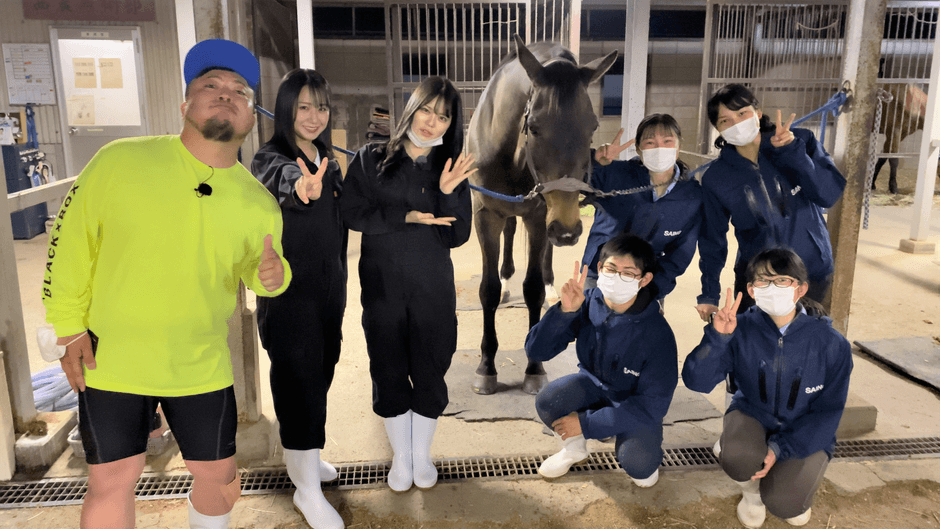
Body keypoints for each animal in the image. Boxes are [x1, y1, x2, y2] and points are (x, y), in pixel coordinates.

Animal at [466, 35, 617, 395]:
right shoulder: (486, 215)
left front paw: (534, 369)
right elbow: (488, 289)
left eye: (592, 127)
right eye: (533, 127)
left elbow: (532, 288)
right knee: (509, 238)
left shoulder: (538, 216)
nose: (568, 230)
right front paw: (486, 368)